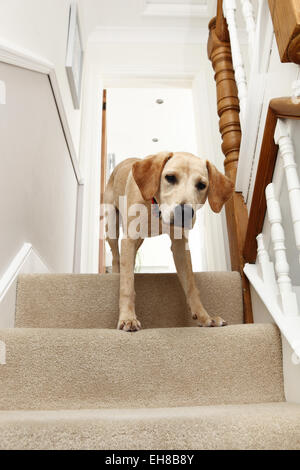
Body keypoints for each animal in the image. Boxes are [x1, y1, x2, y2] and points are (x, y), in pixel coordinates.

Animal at [103, 152, 234, 332]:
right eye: (170, 177)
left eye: (201, 185)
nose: (185, 212)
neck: (156, 209)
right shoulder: (129, 239)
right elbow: (127, 285)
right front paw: (128, 317)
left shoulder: (180, 247)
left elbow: (191, 286)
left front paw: (204, 316)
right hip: (111, 225)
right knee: (116, 256)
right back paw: (117, 272)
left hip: (139, 240)